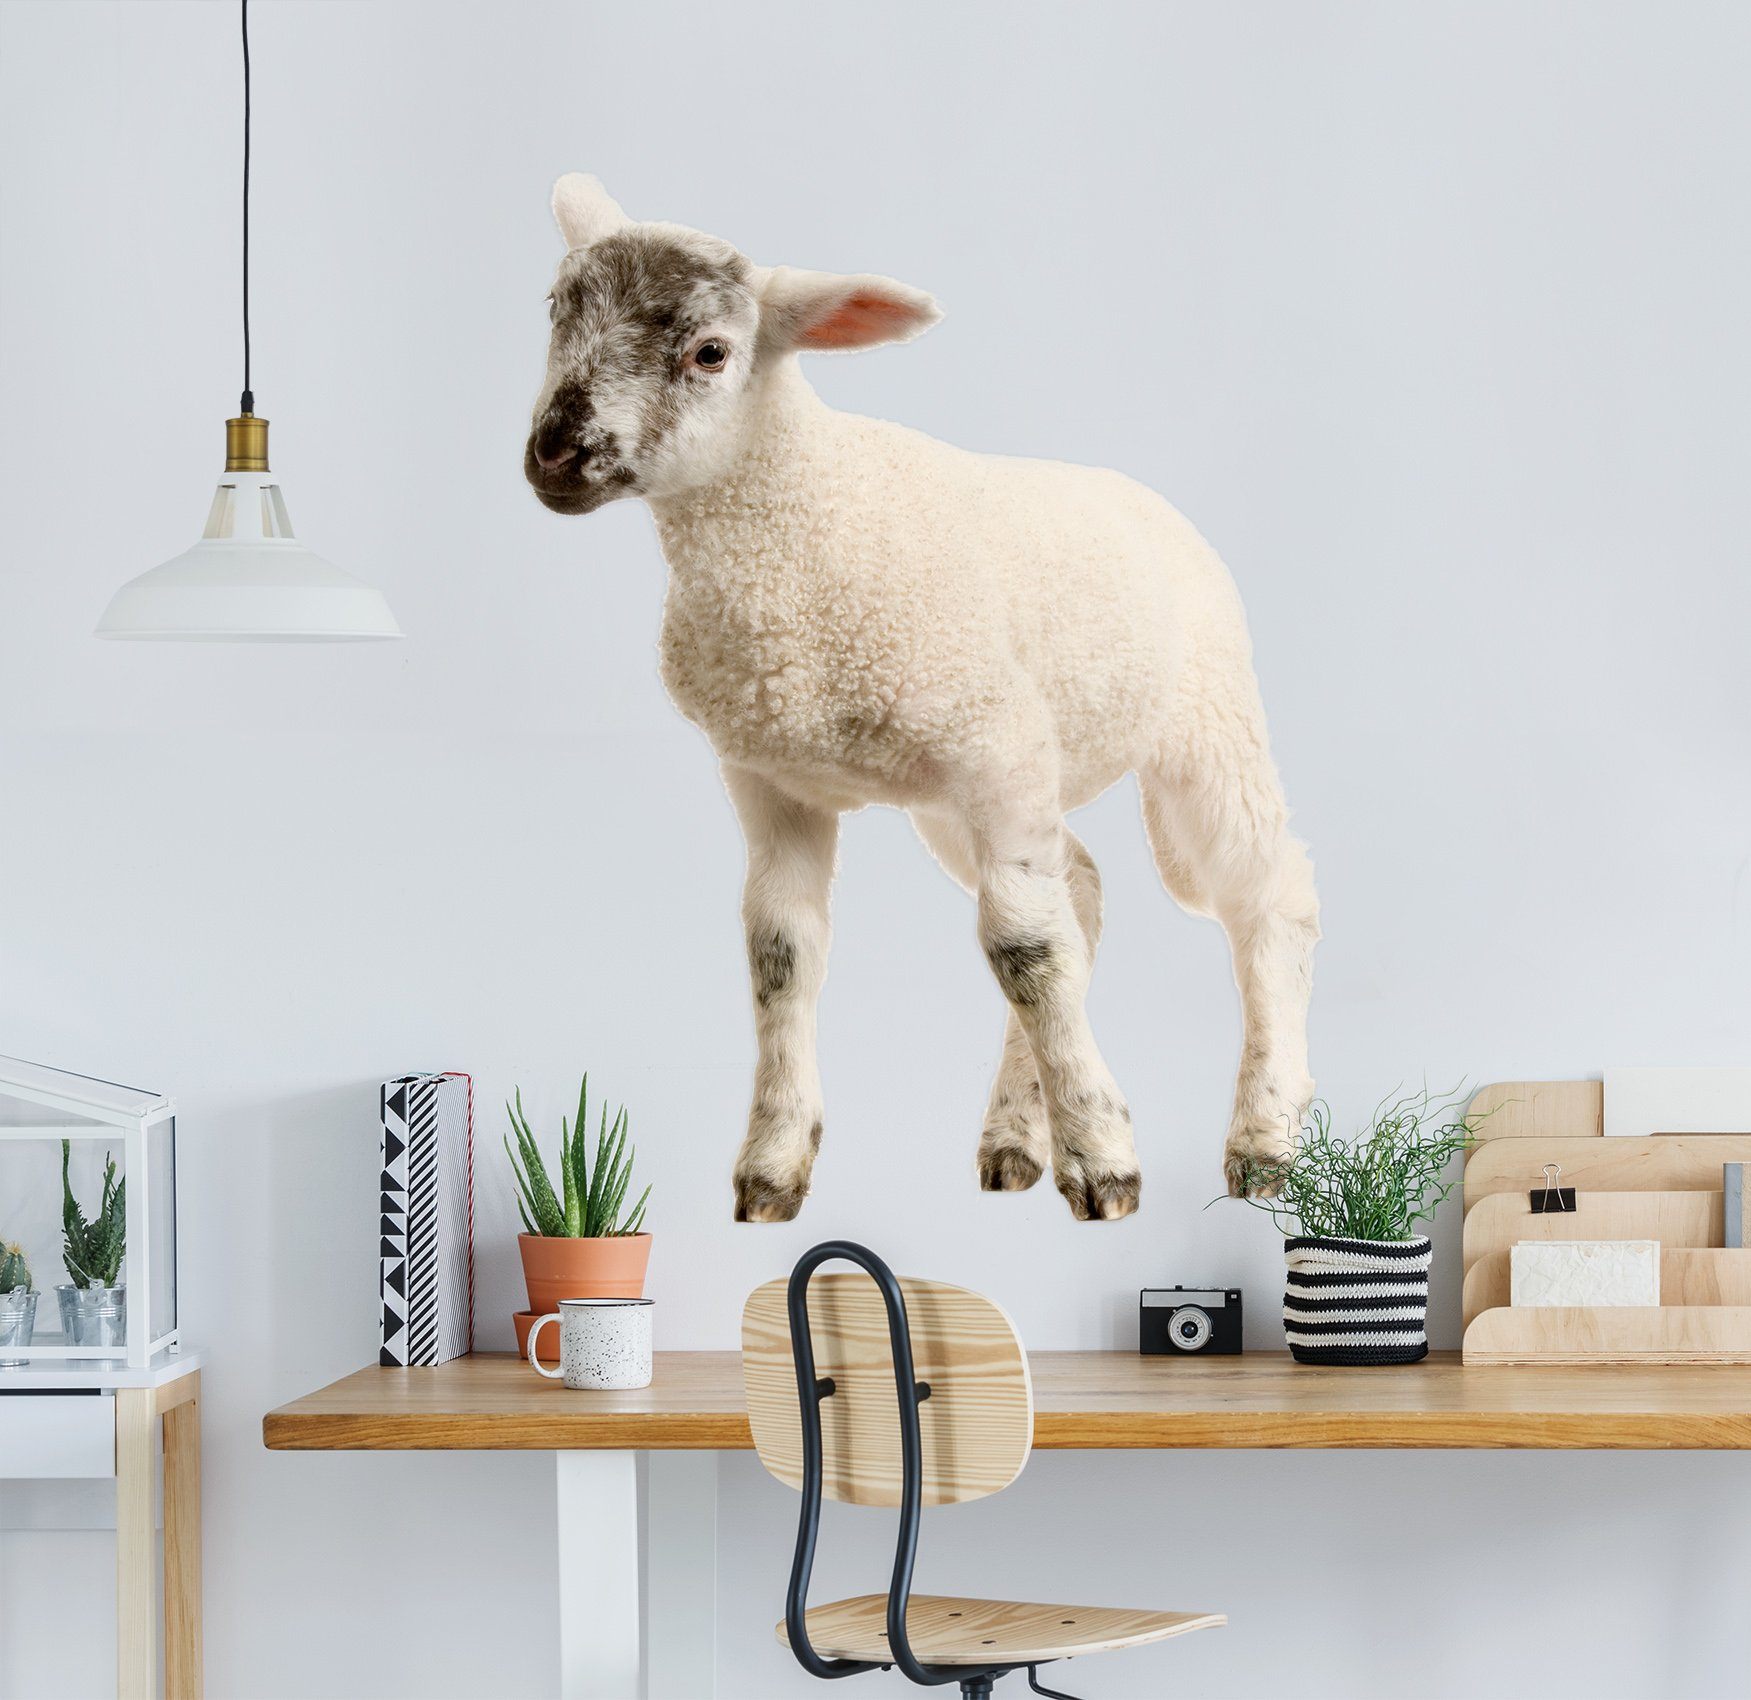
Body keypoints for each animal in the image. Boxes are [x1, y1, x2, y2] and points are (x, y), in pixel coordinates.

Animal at [524, 174, 1320, 1223]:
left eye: (709, 353)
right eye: (553, 311)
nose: (553, 456)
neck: (796, 526)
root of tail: (1148, 500)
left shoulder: (998, 748)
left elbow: (1025, 952)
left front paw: (1103, 1157)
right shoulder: (769, 776)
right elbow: (781, 956)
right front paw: (773, 1164)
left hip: (1202, 724)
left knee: (1268, 899)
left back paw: (1263, 1138)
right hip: (966, 795)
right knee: (1083, 891)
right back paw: (1016, 1137)